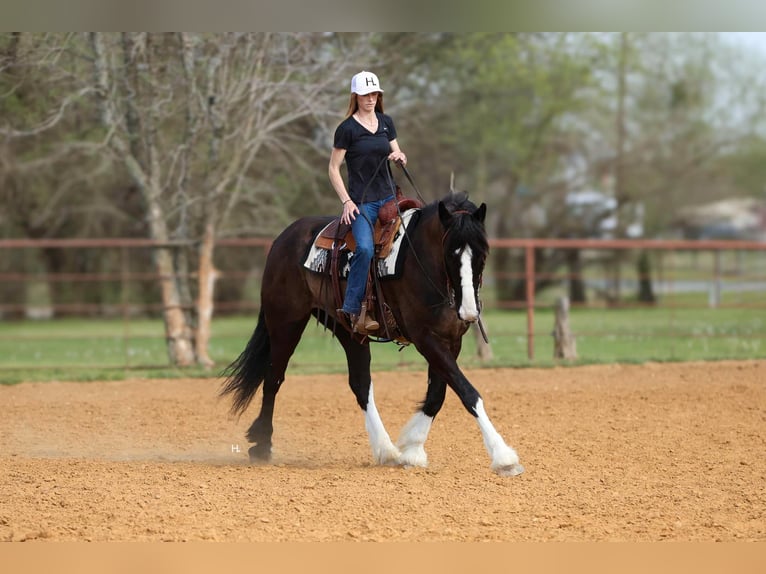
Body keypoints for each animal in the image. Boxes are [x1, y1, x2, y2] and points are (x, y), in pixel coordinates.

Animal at [220, 190, 524, 477]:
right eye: (451, 253)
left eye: (482, 254)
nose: (470, 311)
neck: (421, 262)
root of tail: (283, 238)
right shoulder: (426, 338)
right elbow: (467, 392)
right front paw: (503, 457)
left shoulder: (451, 340)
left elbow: (438, 394)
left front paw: (412, 449)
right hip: (285, 321)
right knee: (273, 378)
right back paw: (261, 445)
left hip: (348, 330)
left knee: (360, 384)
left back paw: (386, 450)